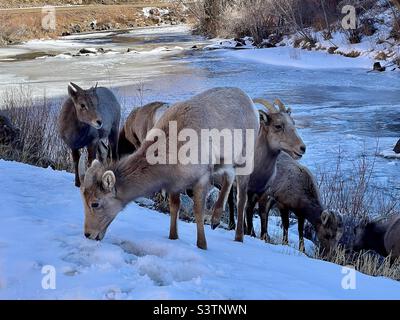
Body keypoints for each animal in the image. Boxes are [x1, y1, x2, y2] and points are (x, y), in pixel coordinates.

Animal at [78, 87, 260, 250]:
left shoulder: (202, 175)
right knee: (229, 176)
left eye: (95, 203)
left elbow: (198, 211)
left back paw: (238, 236)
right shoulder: (175, 182)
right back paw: (215, 220)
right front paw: (173, 237)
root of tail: (251, 103)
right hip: (226, 160)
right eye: (82, 199)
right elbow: (174, 207)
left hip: (247, 156)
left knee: (241, 197)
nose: (88, 234)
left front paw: (202, 245)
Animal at [211, 97, 308, 235]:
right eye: (278, 126)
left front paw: (254, 233)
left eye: (293, 123)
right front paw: (248, 232)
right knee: (230, 201)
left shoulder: (261, 192)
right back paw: (230, 224)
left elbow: (255, 213)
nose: (302, 148)